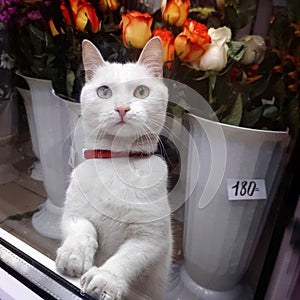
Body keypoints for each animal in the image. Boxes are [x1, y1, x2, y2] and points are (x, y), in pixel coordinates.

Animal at [55, 38, 173, 300]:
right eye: (104, 91)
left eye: (141, 91)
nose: (121, 108)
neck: (116, 163)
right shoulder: (73, 213)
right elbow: (83, 228)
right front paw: (73, 255)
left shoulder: (149, 238)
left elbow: (126, 259)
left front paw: (104, 279)